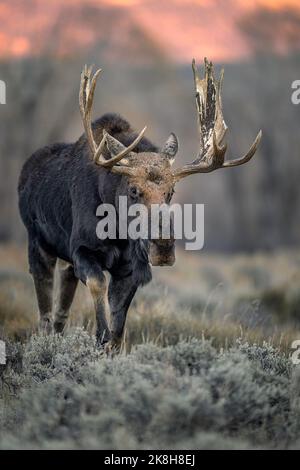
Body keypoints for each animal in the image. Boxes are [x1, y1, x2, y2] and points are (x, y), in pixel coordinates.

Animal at [18, 57, 262, 348]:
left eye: (171, 192)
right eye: (134, 190)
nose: (164, 246)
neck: (117, 231)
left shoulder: (128, 268)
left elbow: (118, 333)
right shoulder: (82, 249)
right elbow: (100, 303)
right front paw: (98, 338)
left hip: (64, 258)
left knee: (61, 306)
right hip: (38, 242)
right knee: (43, 306)